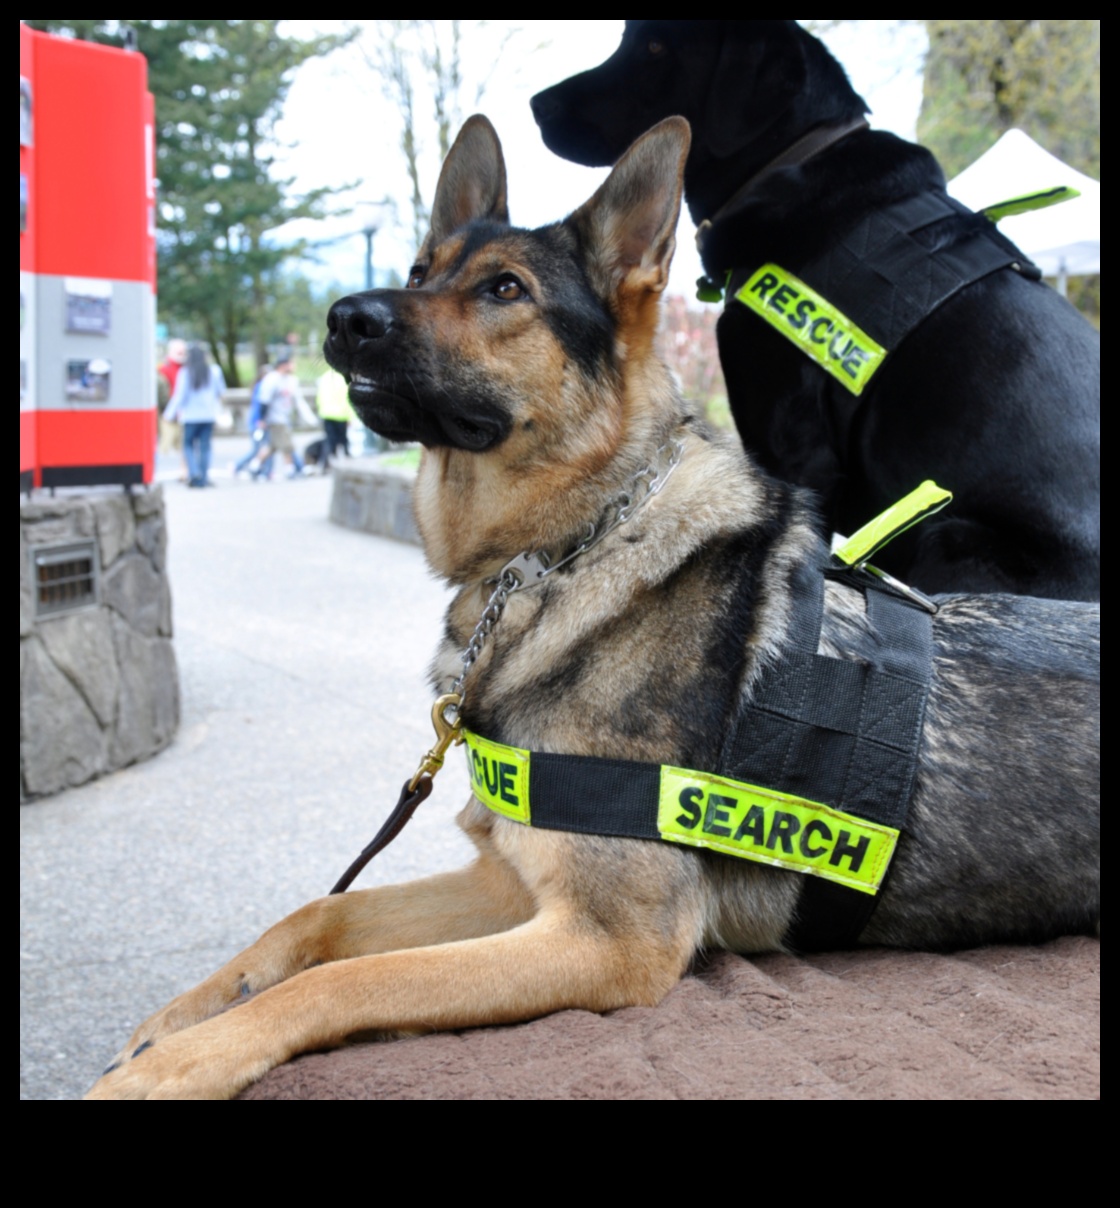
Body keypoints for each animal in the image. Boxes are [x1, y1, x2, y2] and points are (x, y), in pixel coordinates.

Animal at [85, 117, 1097, 1101]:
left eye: (504, 289)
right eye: (419, 271)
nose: (344, 316)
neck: (568, 553)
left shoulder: (606, 939)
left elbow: (350, 979)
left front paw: (184, 1063)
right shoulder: (512, 884)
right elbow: (320, 916)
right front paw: (182, 1016)